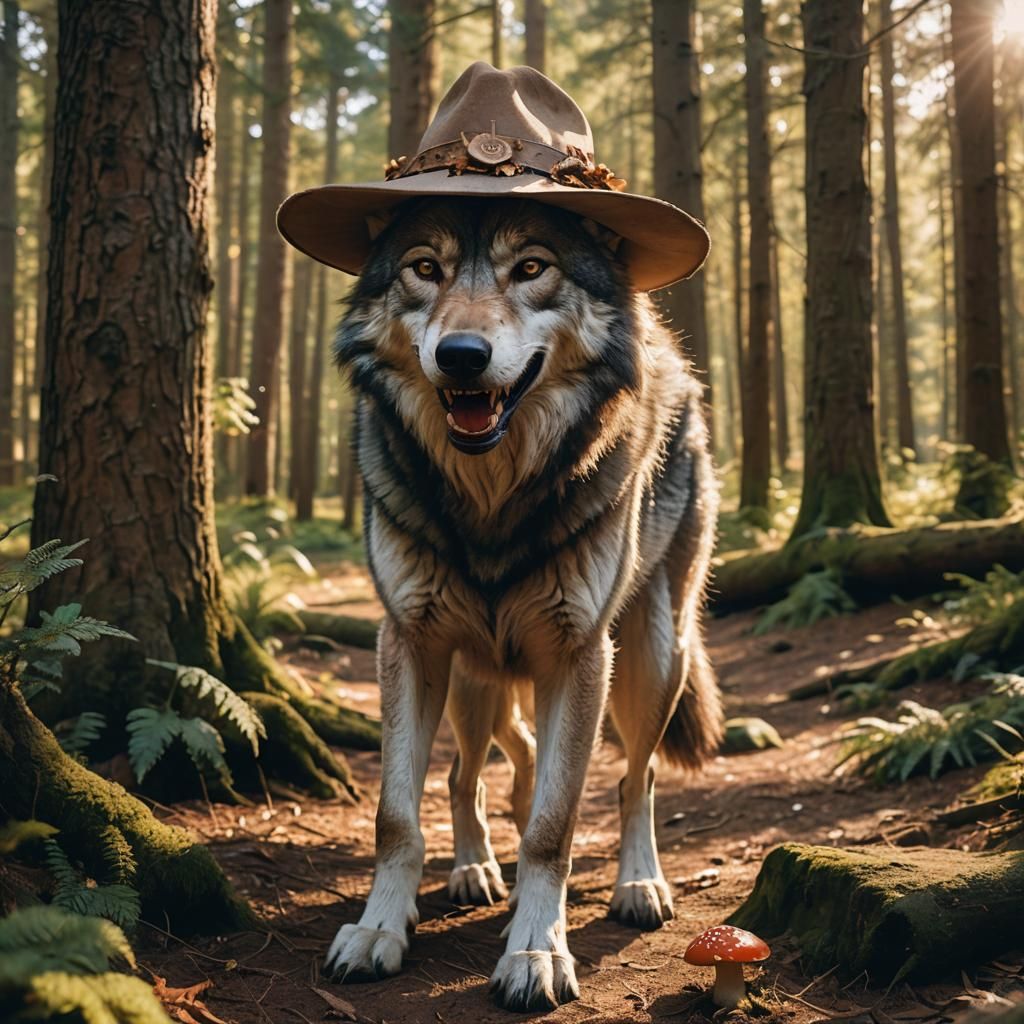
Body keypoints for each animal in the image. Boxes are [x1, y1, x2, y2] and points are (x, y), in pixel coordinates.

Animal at [323, 196, 722, 1012]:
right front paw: (378, 930)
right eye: (425, 268)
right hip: (472, 676)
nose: (461, 355)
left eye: (531, 267)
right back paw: (475, 870)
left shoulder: (577, 655)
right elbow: (396, 815)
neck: (490, 505)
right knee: (467, 773)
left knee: (637, 778)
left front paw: (537, 952)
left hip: (651, 657)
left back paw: (639, 884)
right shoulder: (409, 641)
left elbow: (553, 829)